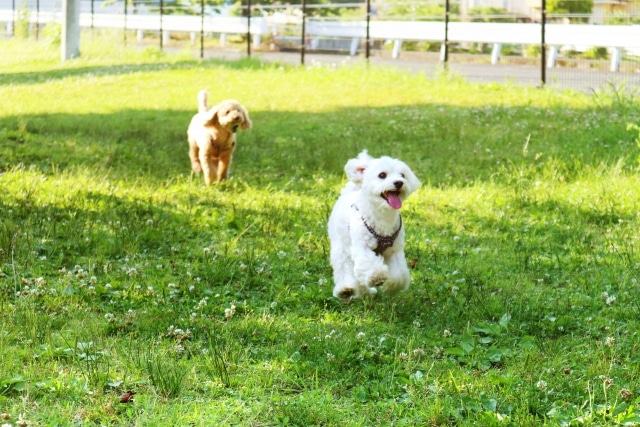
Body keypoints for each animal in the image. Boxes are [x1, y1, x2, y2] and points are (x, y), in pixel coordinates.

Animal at [328, 151, 422, 304]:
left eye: (402, 175)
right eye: (382, 175)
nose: (399, 182)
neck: (382, 216)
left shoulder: (395, 250)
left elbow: (399, 273)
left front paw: (391, 286)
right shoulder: (362, 246)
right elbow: (368, 263)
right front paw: (377, 277)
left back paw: (365, 292)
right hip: (340, 244)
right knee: (343, 266)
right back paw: (346, 289)